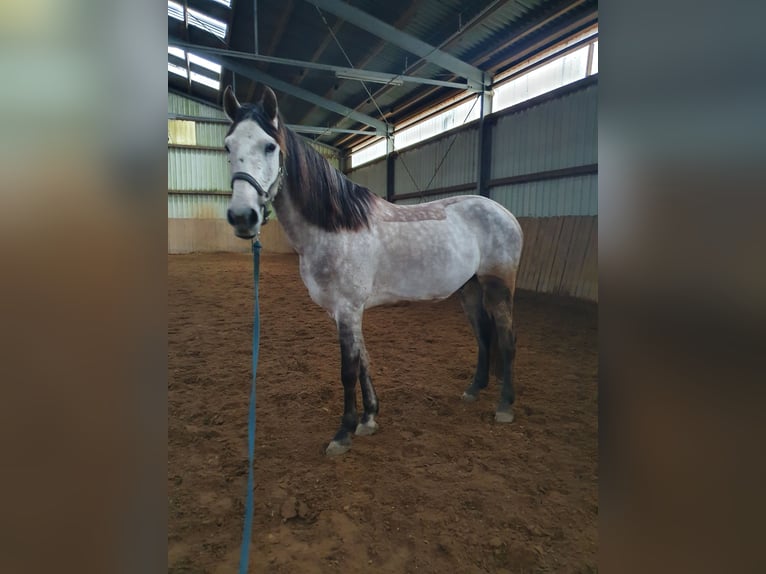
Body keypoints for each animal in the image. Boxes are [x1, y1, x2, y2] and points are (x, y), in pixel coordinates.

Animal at [220, 85, 520, 456]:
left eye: (269, 146)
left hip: (498, 287)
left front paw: (343, 432)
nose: (242, 217)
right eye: (228, 146)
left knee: (506, 339)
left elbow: (348, 369)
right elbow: (363, 361)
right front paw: (369, 418)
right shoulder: (343, 311)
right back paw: (474, 390)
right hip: (470, 288)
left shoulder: (348, 308)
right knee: (483, 335)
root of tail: (505, 214)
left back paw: (505, 406)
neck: (336, 226)